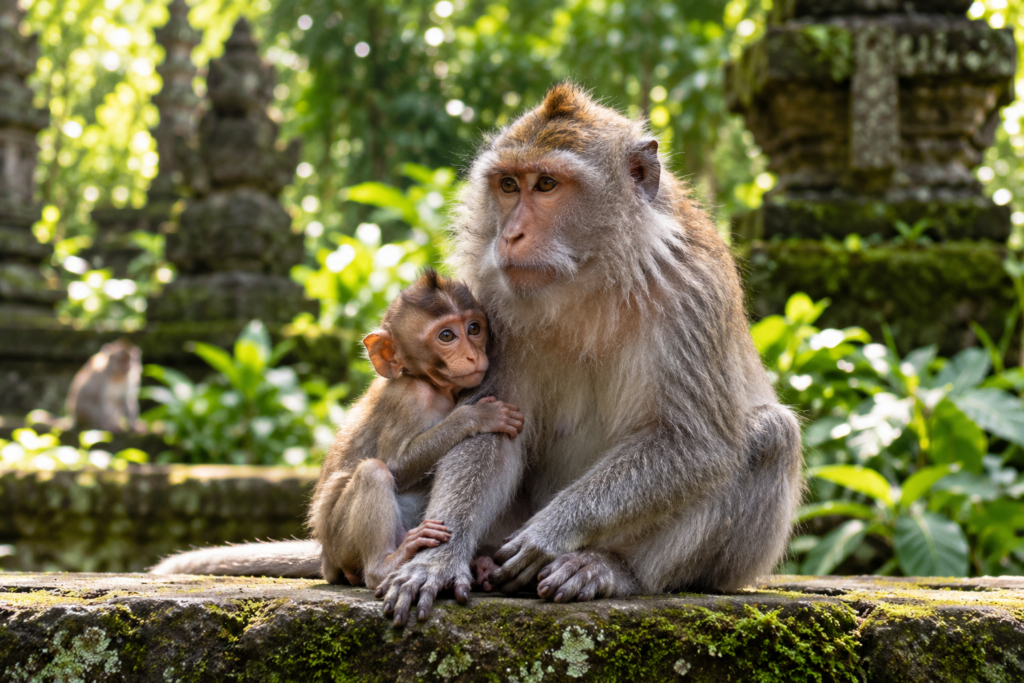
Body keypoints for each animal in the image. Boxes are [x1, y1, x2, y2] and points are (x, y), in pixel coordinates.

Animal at [150, 270, 524, 590]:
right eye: (447, 335)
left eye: (474, 328)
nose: (473, 356)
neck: (425, 382)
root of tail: (325, 558)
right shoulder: (408, 402)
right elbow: (397, 464)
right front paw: (477, 416)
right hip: (341, 540)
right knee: (373, 473)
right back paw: (384, 566)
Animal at [372, 82, 804, 626]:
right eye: (509, 185)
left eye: (546, 185)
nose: (509, 235)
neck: (589, 276)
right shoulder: (488, 301)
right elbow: (492, 424)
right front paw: (439, 558)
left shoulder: (693, 292)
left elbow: (695, 441)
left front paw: (551, 532)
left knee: (771, 436)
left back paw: (611, 569)